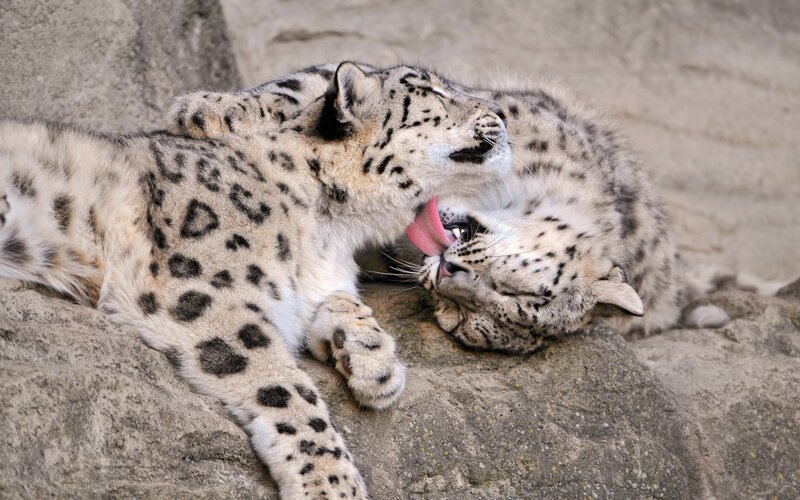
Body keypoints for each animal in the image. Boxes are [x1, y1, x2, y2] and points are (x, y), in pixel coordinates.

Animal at [0, 61, 511, 498]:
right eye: (432, 91)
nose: (503, 115)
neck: (332, 232)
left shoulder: (309, 287)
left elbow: (340, 302)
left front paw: (375, 362)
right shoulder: (203, 292)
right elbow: (285, 388)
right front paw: (330, 483)